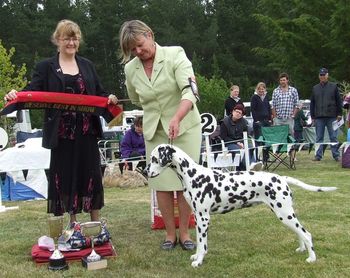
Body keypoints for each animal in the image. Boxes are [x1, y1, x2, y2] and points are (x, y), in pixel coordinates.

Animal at [144, 143, 336, 268]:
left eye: (154, 159)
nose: (145, 172)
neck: (193, 174)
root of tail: (281, 178)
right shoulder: (198, 218)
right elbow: (199, 242)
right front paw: (196, 256)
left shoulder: (204, 218)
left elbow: (203, 244)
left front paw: (199, 261)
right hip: (286, 214)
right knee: (300, 233)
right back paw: (302, 250)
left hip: (285, 214)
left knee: (307, 234)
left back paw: (311, 258)